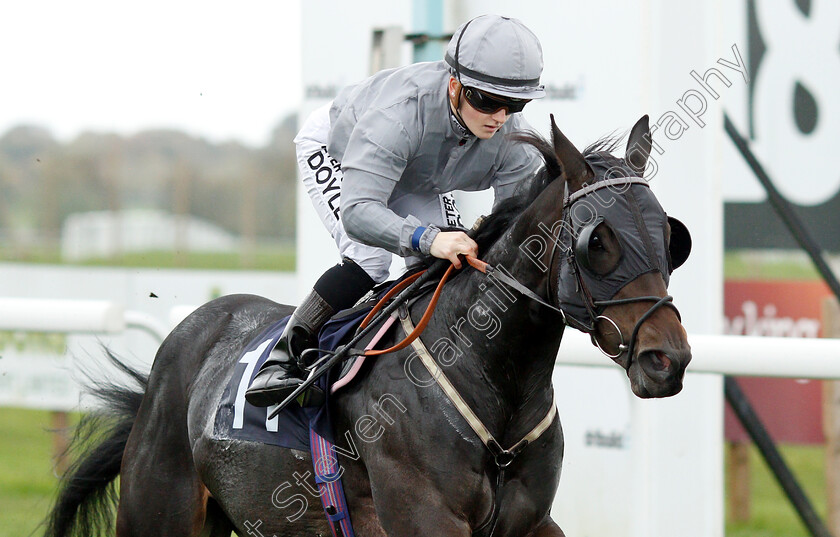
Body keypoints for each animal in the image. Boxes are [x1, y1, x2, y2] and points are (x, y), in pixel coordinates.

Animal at [42, 114, 692, 536]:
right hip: (159, 511)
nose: (669, 359)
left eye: (670, 236)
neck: (493, 382)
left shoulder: (531, 524)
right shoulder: (423, 518)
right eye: (597, 242)